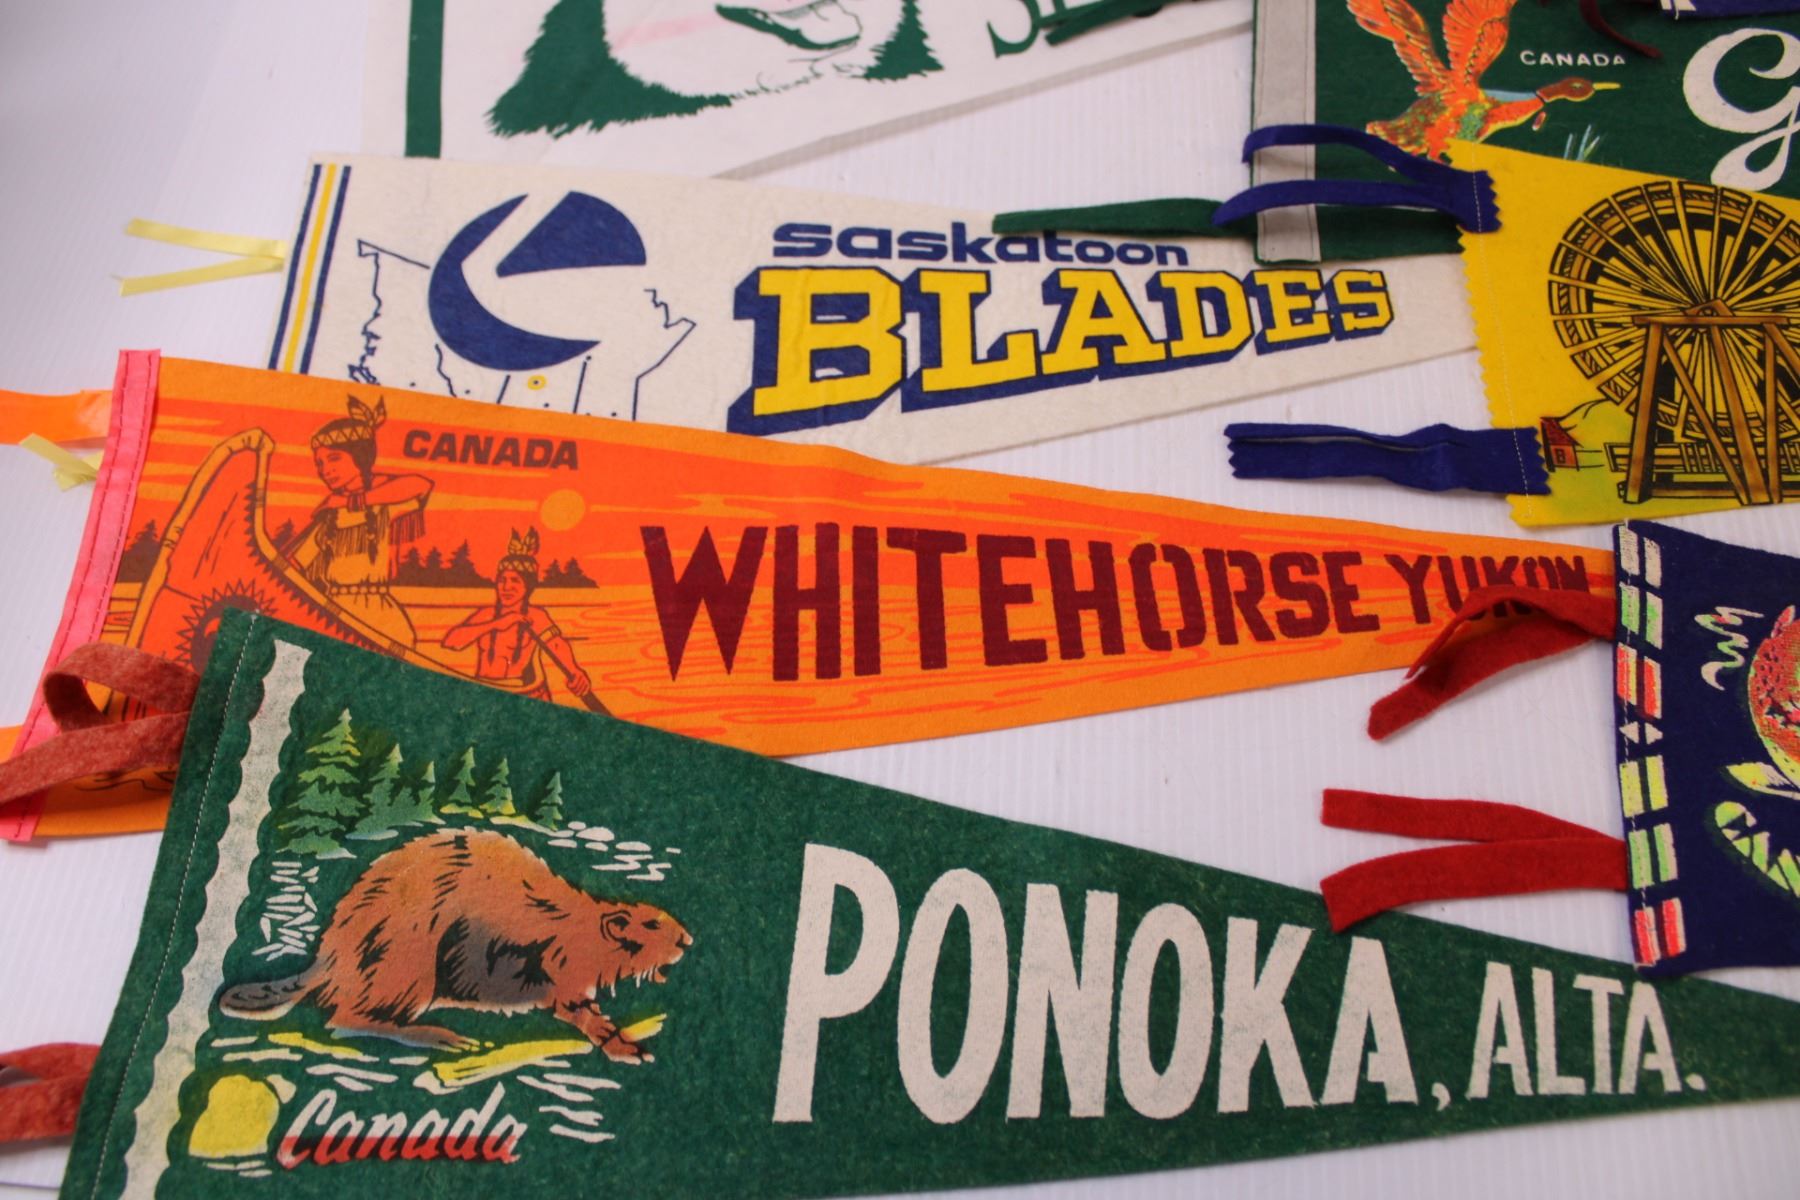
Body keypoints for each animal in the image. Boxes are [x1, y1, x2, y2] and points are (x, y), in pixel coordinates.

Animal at [218, 830, 691, 1063]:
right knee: (345, 1020)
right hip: (410, 966)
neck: (579, 922)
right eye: (651, 924)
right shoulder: (559, 966)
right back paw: (445, 1038)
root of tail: (325, 963)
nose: (687, 940)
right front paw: (629, 1049)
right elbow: (581, 1012)